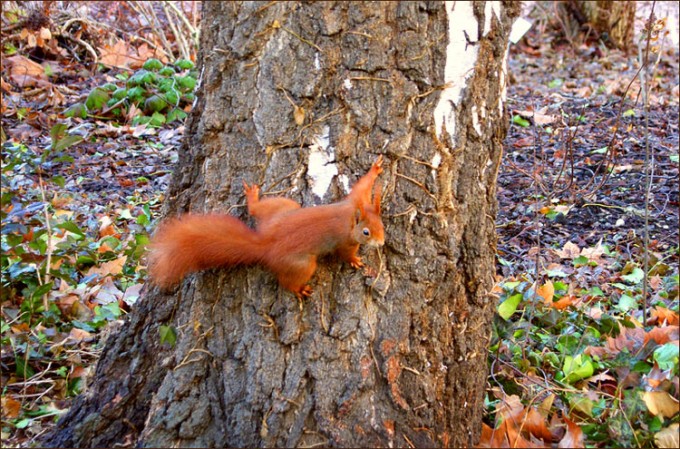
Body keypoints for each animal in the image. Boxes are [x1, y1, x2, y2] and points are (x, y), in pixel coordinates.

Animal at [148, 155, 385, 298]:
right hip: (301, 264)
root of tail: (268, 244)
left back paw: (252, 198)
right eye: (366, 232)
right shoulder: (345, 239)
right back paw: (299, 290)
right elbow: (345, 253)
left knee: (256, 211)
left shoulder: (356, 200)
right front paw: (355, 260)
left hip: (281, 209)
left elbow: (362, 187)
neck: (350, 216)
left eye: (381, 224)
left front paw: (375, 169)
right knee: (287, 281)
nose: (382, 243)